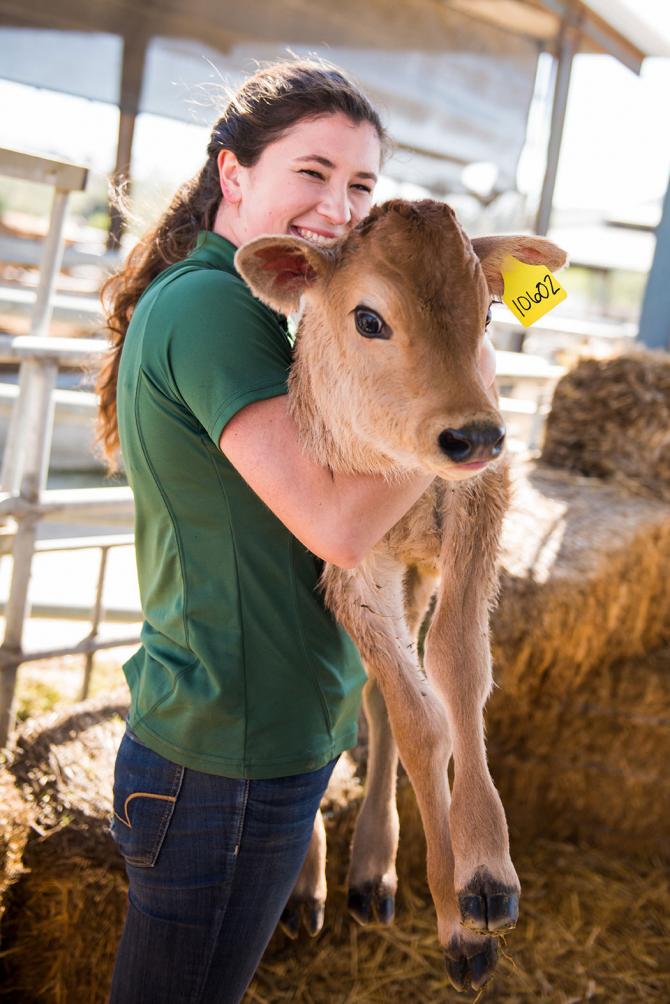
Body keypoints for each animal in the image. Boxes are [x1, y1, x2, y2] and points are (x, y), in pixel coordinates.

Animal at [236, 199, 566, 991]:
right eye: (369, 318)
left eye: (488, 312)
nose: (474, 434)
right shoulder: (348, 565)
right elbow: (420, 719)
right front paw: (463, 918)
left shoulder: (481, 499)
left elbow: (456, 666)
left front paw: (484, 878)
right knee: (359, 694)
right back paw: (316, 883)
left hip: (419, 573)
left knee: (383, 693)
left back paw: (371, 871)